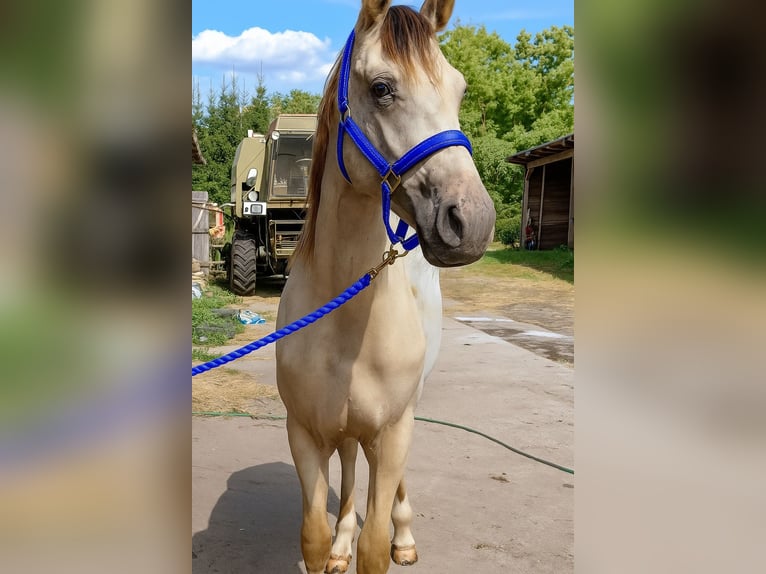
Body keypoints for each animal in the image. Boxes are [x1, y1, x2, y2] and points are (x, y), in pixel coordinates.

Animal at [275, 1, 496, 572]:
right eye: (381, 88)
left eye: (459, 90)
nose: (473, 221)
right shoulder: (303, 432)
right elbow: (312, 534)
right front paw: (334, 547)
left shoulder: (394, 428)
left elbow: (375, 547)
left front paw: (389, 540)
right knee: (353, 464)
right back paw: (343, 541)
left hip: (406, 411)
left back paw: (405, 537)